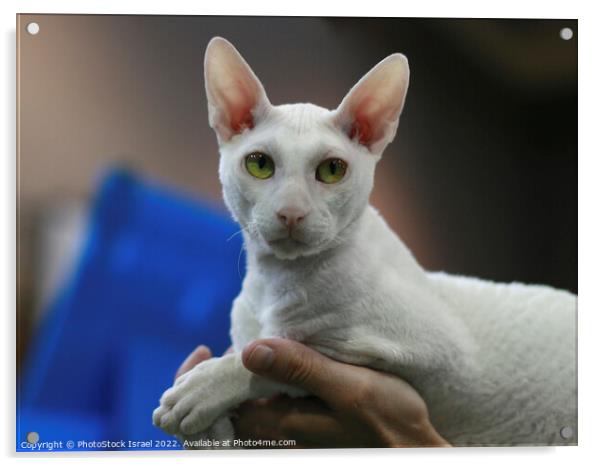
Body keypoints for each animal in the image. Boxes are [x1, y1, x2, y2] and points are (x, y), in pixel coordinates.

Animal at [152, 37, 576, 448]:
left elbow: (284, 353)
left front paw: (201, 391)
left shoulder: (438, 360)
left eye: (332, 170)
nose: (291, 213)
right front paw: (210, 431)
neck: (277, 279)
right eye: (259, 164)